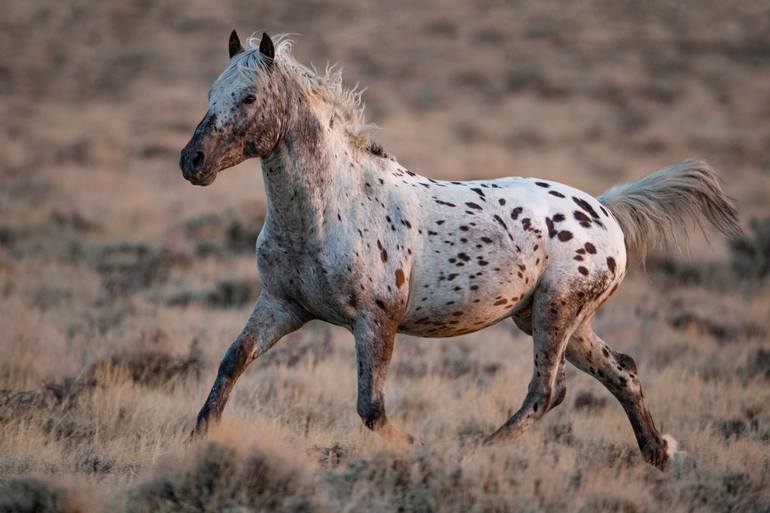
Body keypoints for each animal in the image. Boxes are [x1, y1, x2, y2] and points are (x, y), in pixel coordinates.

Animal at [178, 30, 736, 466]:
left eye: (250, 98)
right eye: (210, 92)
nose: (192, 161)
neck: (330, 209)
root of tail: (604, 210)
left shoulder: (376, 320)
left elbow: (371, 408)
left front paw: (418, 448)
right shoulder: (283, 304)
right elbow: (232, 362)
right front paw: (196, 440)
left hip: (557, 311)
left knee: (546, 391)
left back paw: (478, 451)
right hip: (554, 320)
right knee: (622, 371)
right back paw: (659, 453)